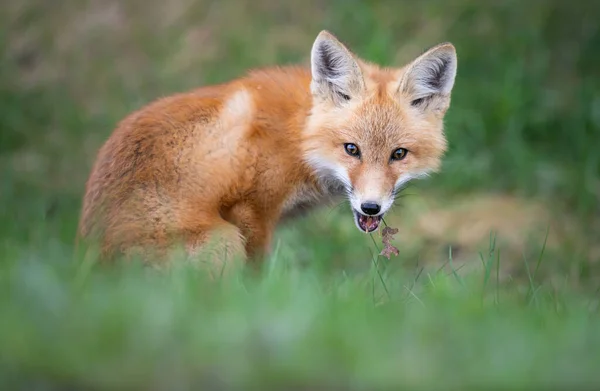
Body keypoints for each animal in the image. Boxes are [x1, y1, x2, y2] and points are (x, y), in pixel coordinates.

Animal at [77, 30, 458, 272]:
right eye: (352, 149)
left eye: (399, 154)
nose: (371, 207)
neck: (298, 138)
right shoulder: (252, 210)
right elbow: (256, 280)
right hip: (223, 240)